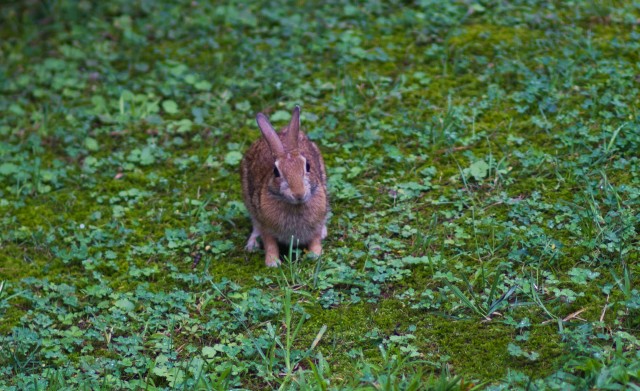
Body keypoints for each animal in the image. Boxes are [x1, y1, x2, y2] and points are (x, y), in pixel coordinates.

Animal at [241, 105, 330, 268]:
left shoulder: (316, 222)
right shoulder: (266, 226)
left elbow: (315, 239)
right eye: (276, 172)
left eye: (308, 166)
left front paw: (315, 255)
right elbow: (270, 243)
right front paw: (272, 262)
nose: (299, 194)